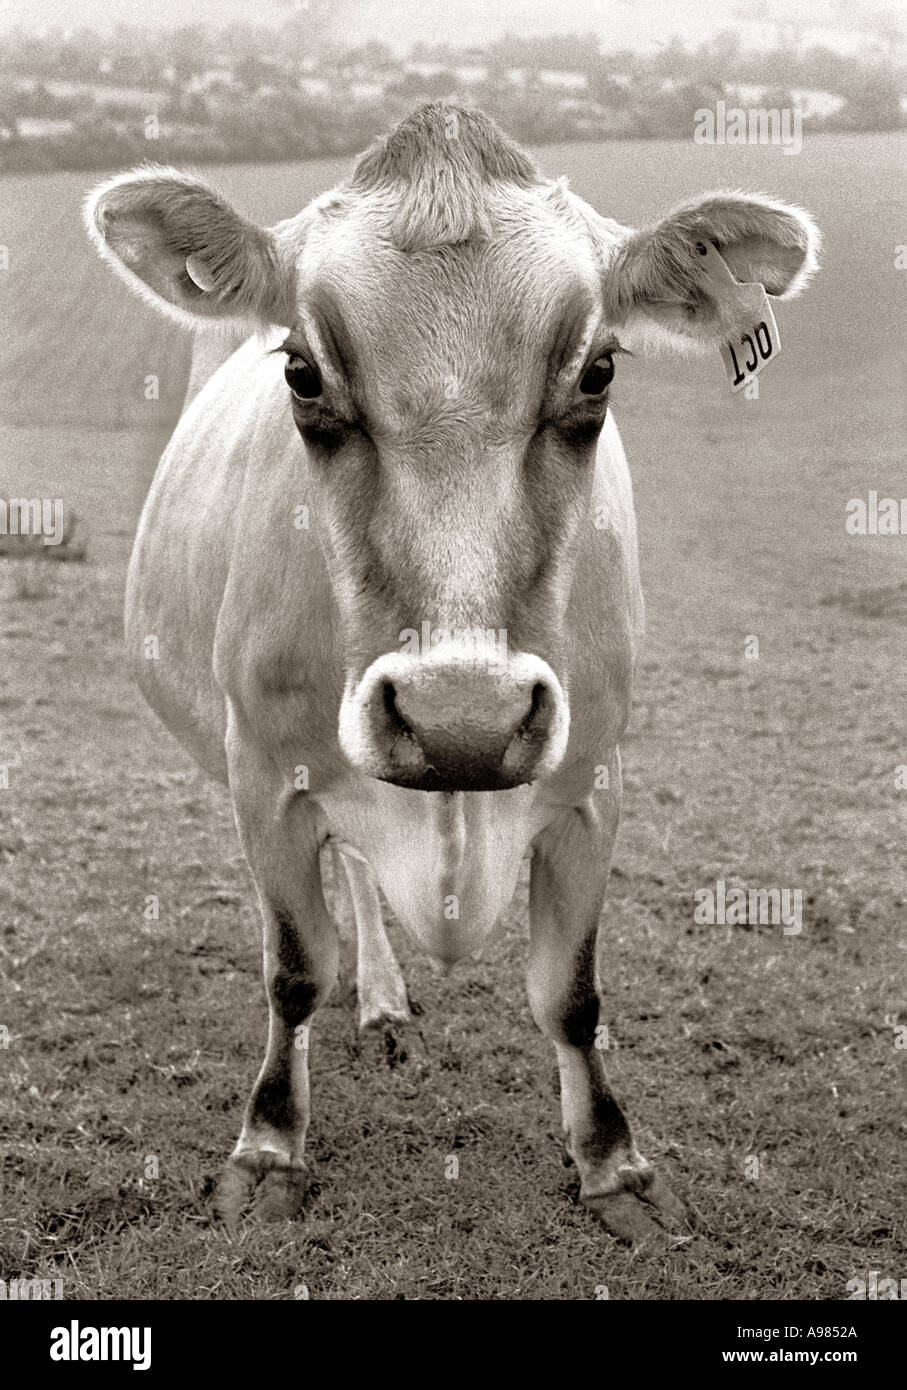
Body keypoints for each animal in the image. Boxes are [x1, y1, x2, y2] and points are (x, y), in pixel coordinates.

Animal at [85, 103, 818, 1244]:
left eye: (599, 369)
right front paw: (270, 1146)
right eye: (301, 370)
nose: (459, 719)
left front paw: (614, 1165)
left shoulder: (592, 780)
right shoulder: (265, 776)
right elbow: (294, 970)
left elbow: (570, 993)